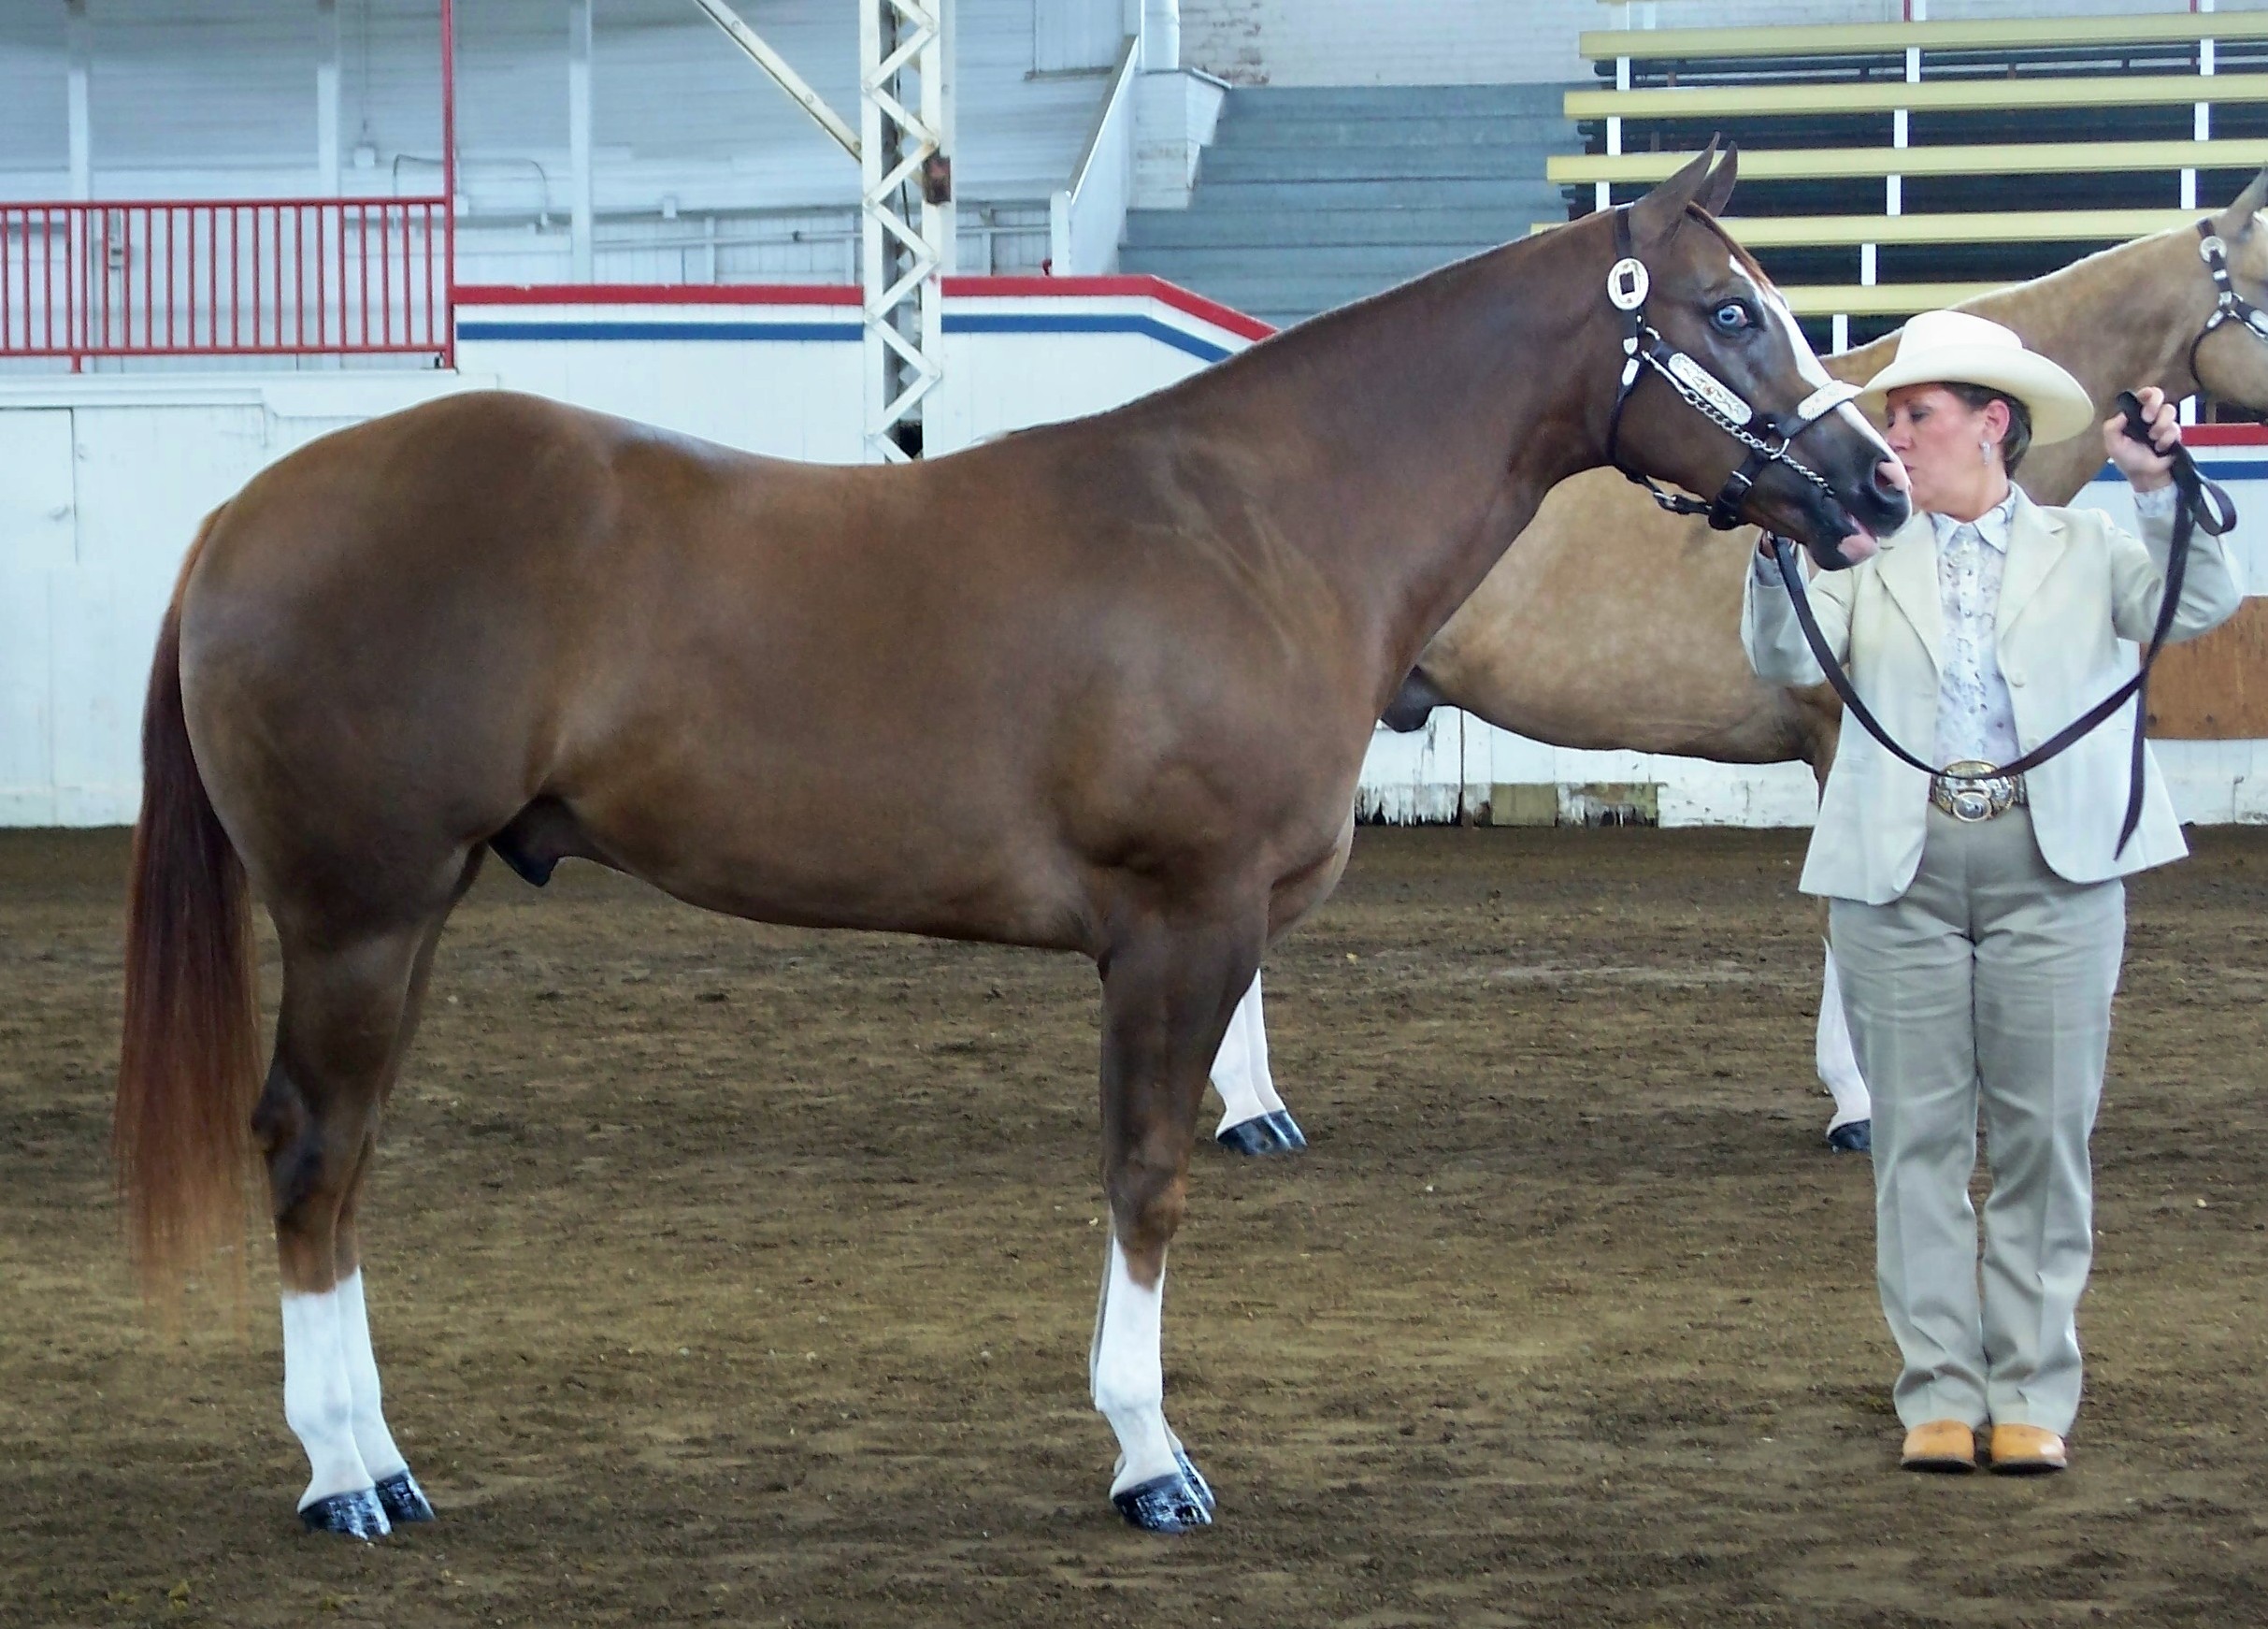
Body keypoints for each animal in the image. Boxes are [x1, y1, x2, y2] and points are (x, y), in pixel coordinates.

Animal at [115, 146, 1904, 1534]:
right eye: (1732, 311)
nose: (1874, 483)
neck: (1264, 525)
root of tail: (238, 516)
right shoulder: (1182, 927)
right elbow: (1148, 1177)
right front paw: (1151, 1458)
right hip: (359, 911)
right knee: (311, 1153)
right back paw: (347, 1478)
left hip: (403, 916)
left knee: (340, 1164)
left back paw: (377, 1464)